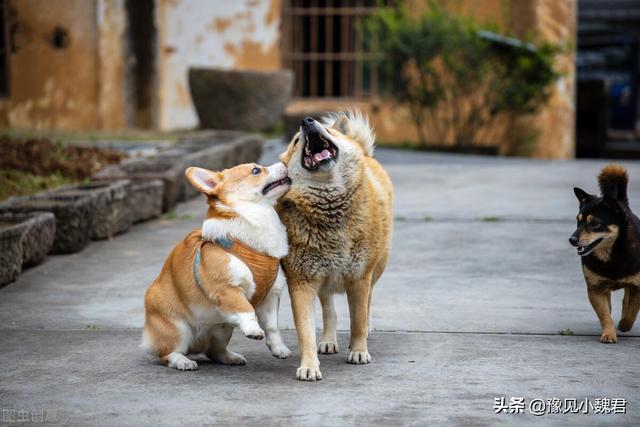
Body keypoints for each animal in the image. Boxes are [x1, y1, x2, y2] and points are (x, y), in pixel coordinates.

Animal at [143, 162, 292, 370]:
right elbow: (247, 309)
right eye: (256, 170)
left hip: (223, 328)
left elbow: (272, 327)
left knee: (214, 351)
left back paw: (231, 357)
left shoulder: (271, 295)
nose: (285, 163)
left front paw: (279, 349)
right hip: (178, 329)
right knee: (168, 354)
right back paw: (182, 361)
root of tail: (195, 345)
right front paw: (253, 330)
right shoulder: (227, 289)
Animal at [280, 111, 396, 382]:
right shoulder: (301, 281)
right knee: (329, 311)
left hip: (376, 268)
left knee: (368, 303)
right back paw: (328, 341)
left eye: (330, 132)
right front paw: (309, 365)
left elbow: (357, 320)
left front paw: (359, 351)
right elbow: (306, 331)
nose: (307, 121)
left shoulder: (360, 277)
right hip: (324, 277)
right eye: (296, 141)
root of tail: (366, 153)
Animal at [568, 164, 640, 344]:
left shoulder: (638, 286)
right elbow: (604, 313)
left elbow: (632, 310)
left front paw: (624, 325)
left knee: (626, 300)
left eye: (594, 223)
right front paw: (609, 332)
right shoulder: (596, 288)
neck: (612, 255)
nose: (572, 239)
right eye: (578, 220)